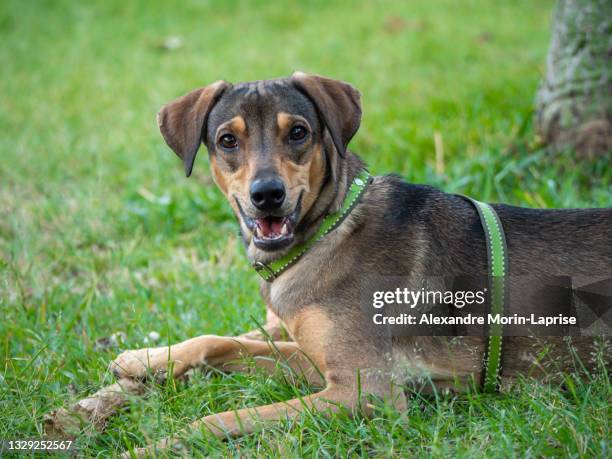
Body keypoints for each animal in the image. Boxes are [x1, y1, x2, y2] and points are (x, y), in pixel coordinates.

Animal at [111, 72, 612, 456]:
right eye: (227, 140)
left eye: (298, 132)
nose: (267, 195)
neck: (326, 233)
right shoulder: (316, 360)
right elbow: (220, 342)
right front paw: (143, 359)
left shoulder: (366, 391)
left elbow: (223, 416)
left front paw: (153, 446)